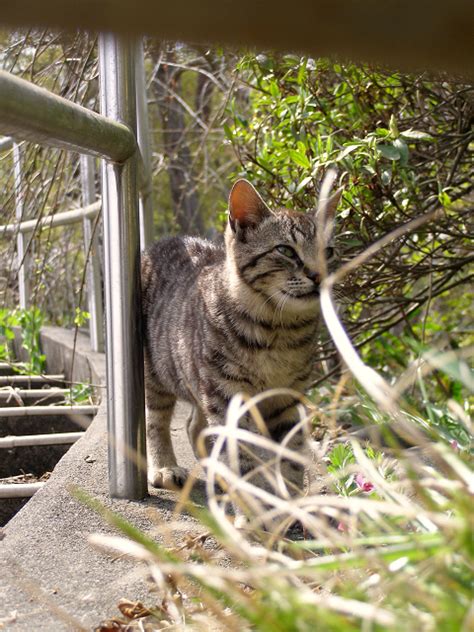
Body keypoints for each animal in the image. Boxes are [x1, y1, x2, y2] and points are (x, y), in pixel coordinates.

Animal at [141, 179, 340, 504]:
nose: (318, 274)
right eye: (285, 250)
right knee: (156, 421)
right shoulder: (228, 397)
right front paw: (255, 504)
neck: (278, 331)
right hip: (157, 376)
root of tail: (163, 241)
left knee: (194, 425)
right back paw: (164, 466)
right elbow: (245, 457)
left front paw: (290, 500)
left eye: (329, 251)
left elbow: (289, 455)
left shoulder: (288, 399)